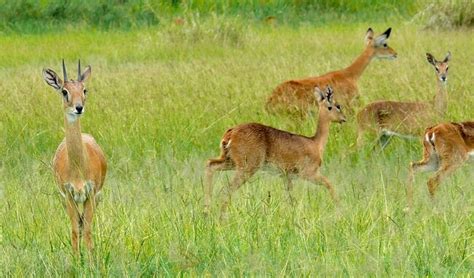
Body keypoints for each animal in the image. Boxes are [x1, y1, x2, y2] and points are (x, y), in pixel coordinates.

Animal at [42, 59, 106, 255]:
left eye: (84, 89)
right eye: (64, 91)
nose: (79, 107)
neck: (78, 166)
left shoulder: (91, 193)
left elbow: (87, 229)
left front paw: (92, 261)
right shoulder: (69, 195)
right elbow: (75, 229)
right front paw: (77, 259)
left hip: (95, 198)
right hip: (65, 199)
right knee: (78, 223)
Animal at [206, 86, 346, 218]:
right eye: (336, 106)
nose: (344, 118)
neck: (315, 143)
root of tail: (230, 133)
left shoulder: (286, 176)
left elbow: (290, 197)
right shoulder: (309, 173)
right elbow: (330, 184)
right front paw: (340, 211)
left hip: (230, 161)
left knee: (210, 164)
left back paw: (206, 211)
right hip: (246, 168)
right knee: (226, 189)